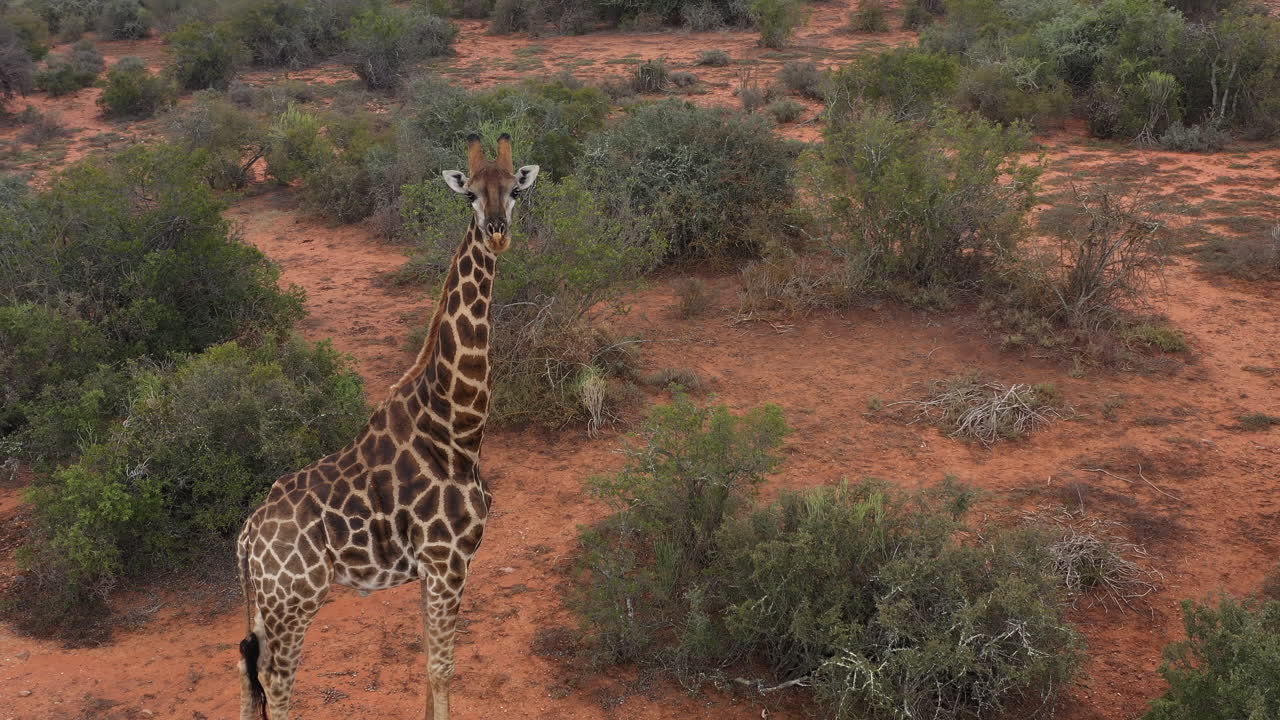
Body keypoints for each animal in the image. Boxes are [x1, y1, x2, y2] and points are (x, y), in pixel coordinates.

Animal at [235, 133, 539, 720]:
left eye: (515, 190)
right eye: (469, 194)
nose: (498, 234)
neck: (457, 428)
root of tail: (245, 540)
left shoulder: (434, 569)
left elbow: (427, 663)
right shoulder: (447, 560)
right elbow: (442, 667)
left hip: (262, 603)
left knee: (245, 675)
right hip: (295, 601)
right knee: (277, 685)